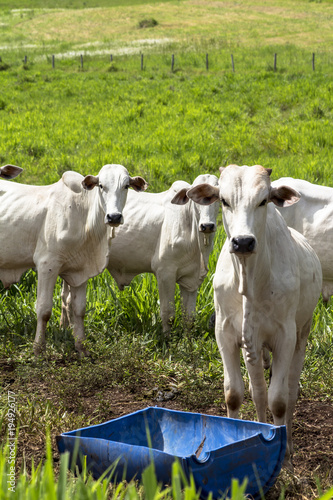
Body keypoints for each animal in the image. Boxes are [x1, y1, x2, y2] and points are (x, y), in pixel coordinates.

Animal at [0, 164, 146, 356]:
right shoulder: (47, 265)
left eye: (126, 186)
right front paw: (38, 348)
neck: (83, 217)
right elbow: (44, 310)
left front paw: (81, 347)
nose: (114, 217)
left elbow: (78, 309)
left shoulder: (81, 271)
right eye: (101, 186)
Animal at [61, 174, 219, 334]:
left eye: (218, 198)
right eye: (194, 199)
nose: (207, 226)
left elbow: (189, 319)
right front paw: (168, 339)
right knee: (68, 301)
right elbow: (168, 314)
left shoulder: (191, 280)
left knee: (65, 298)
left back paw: (64, 327)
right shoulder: (165, 273)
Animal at [185, 164, 320, 464]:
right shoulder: (226, 333)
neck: (250, 279)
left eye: (263, 201)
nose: (243, 242)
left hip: (302, 333)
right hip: (254, 345)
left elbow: (279, 400)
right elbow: (235, 394)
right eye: (224, 201)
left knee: (290, 391)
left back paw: (287, 439)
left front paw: (284, 453)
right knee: (257, 392)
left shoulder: (285, 337)